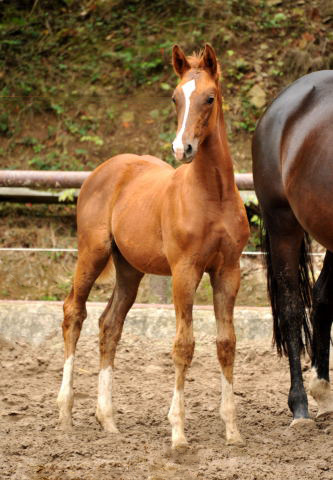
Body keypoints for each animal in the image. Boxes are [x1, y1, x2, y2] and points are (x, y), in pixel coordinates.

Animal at [57, 43, 248, 448]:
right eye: (175, 97)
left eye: (209, 97)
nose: (182, 148)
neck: (213, 195)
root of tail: (105, 170)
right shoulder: (185, 272)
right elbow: (183, 346)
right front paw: (178, 434)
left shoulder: (228, 271)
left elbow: (226, 343)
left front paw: (232, 430)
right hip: (92, 253)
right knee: (74, 313)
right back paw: (65, 412)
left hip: (129, 268)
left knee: (110, 325)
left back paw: (108, 419)